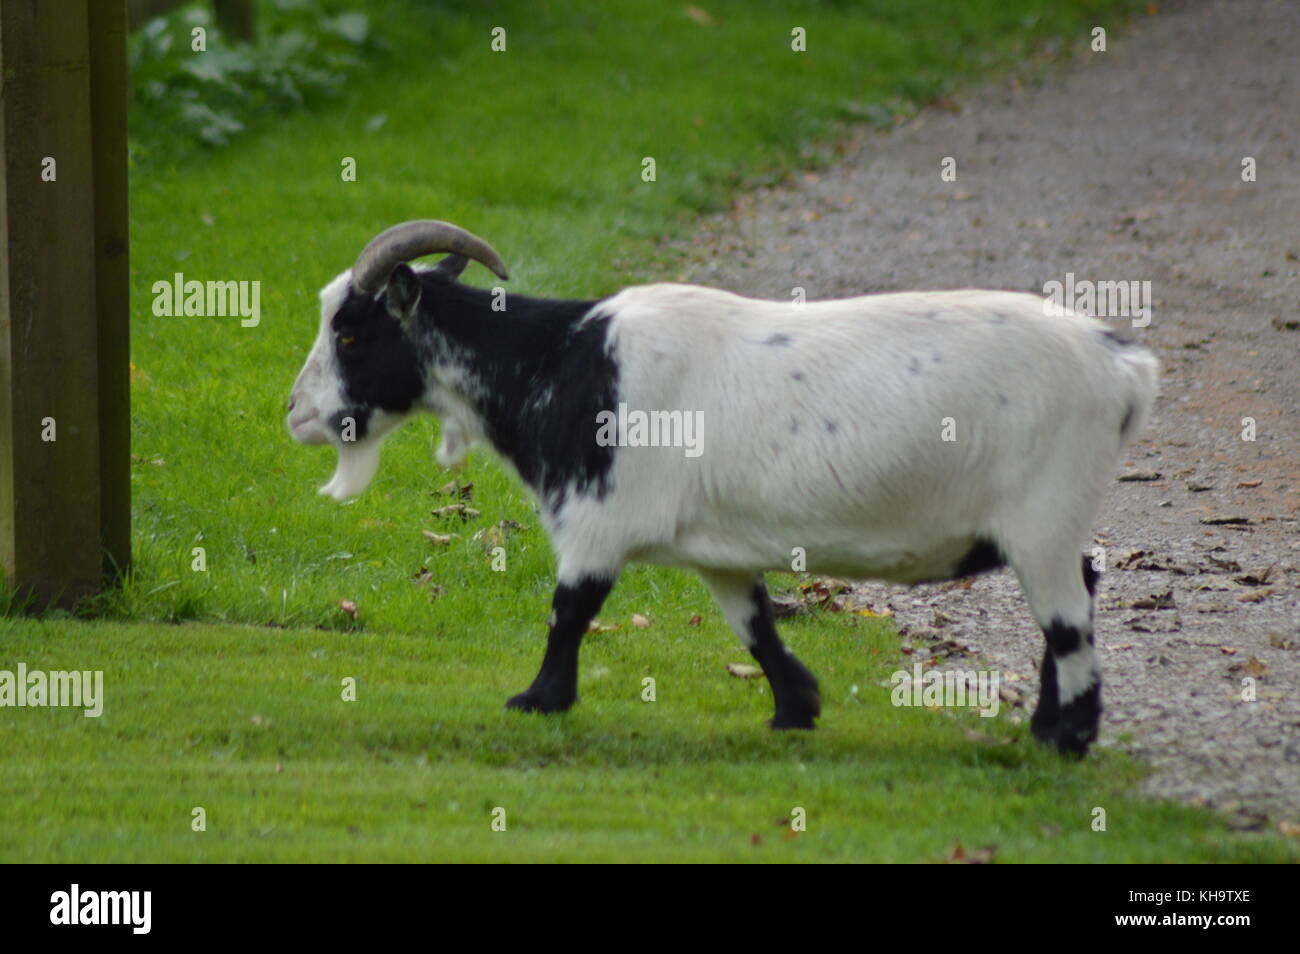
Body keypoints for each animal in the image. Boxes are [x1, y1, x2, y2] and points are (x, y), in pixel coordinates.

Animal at [287, 220, 1159, 759]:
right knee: (1082, 588)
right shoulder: (720, 551)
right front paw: (795, 710)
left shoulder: (598, 522)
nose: (297, 413)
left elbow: (570, 610)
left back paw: (1067, 739)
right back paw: (1049, 727)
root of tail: (1123, 366)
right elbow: (755, 626)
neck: (561, 359)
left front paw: (538, 701)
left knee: (1068, 615)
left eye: (353, 332)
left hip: (1043, 512)